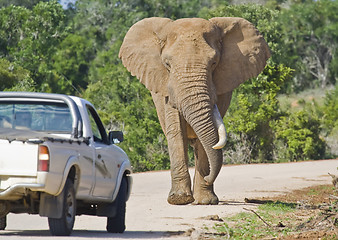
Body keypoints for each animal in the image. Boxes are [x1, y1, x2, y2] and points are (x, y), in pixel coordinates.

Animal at [119, 16, 270, 204]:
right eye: (167, 64)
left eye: (214, 63)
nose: (208, 178)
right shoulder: (166, 89)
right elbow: (176, 131)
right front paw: (179, 200)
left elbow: (208, 137)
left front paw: (206, 201)